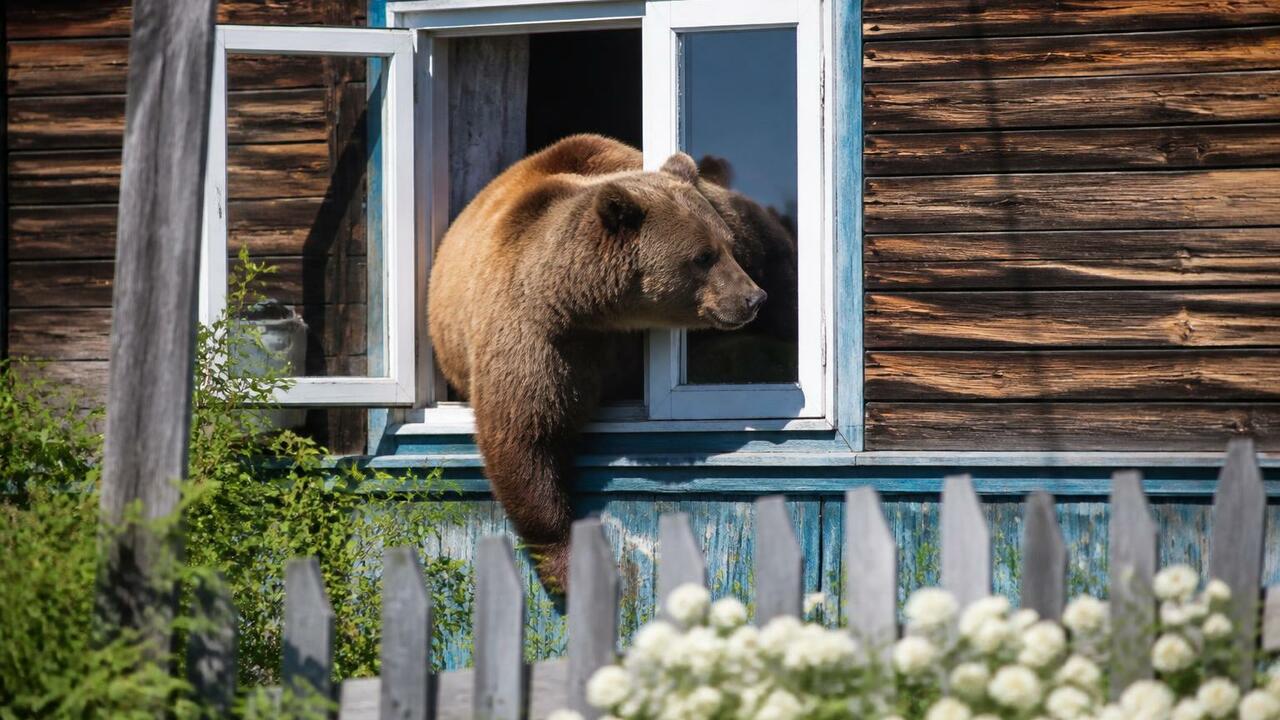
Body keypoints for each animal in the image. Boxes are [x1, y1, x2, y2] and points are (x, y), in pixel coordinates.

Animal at [428, 134, 766, 589]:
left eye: (727, 247)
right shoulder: (539, 337)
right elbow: (524, 436)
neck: (595, 307)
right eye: (703, 256)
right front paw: (569, 564)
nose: (753, 298)